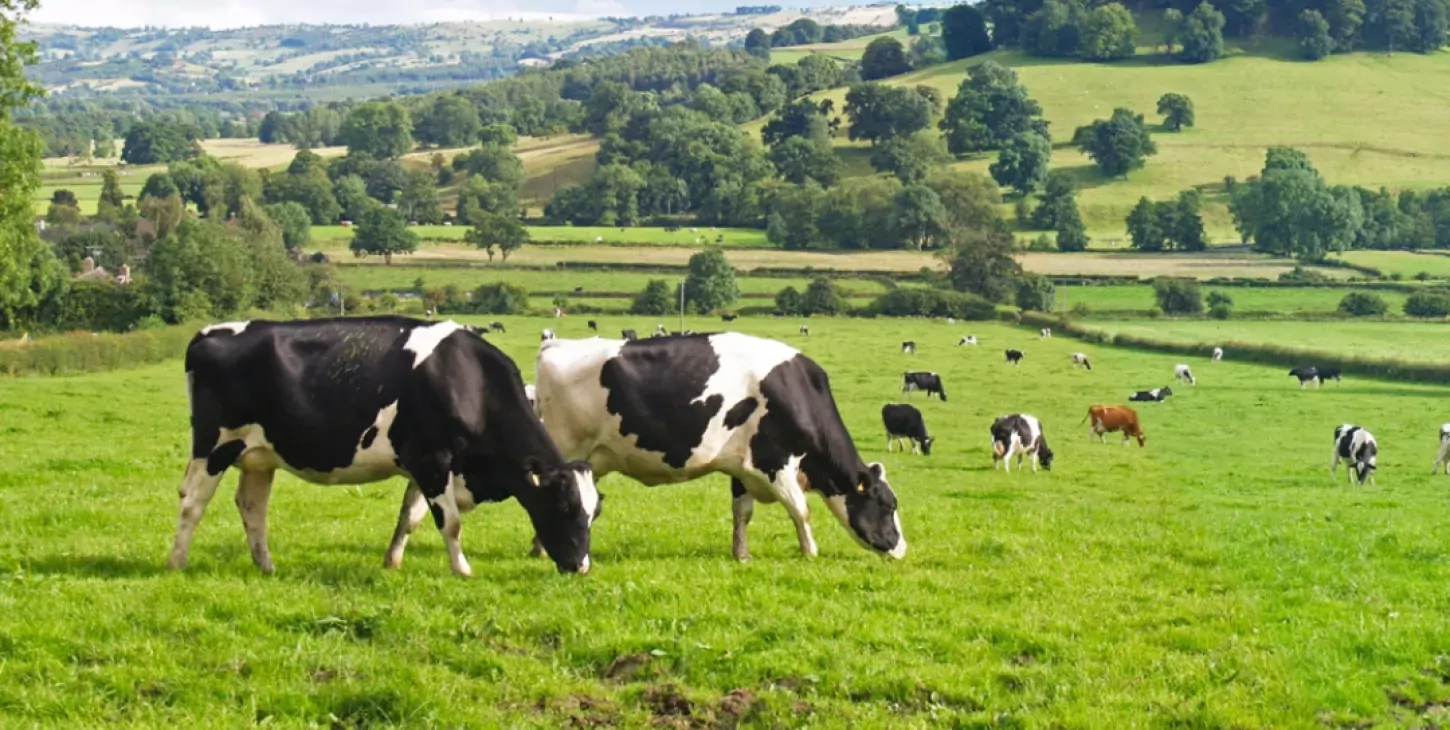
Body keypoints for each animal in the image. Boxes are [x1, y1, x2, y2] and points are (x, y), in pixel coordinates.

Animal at [171, 319, 600, 577]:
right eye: (565, 507)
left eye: (594, 513)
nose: (581, 565)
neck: (468, 380)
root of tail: (208, 333)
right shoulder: (431, 460)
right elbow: (450, 522)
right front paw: (462, 570)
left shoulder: (425, 465)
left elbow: (409, 518)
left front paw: (392, 561)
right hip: (215, 445)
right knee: (192, 503)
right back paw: (177, 561)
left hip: (259, 456)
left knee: (252, 507)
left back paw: (266, 566)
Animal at [536, 333, 904, 563]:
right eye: (887, 505)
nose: (902, 550)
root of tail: (555, 344)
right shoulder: (776, 462)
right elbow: (801, 509)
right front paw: (810, 552)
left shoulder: (743, 467)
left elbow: (742, 513)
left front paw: (741, 554)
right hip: (566, 449)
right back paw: (542, 549)